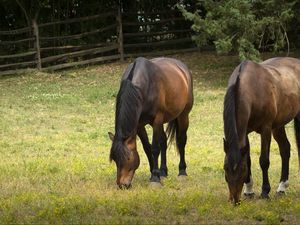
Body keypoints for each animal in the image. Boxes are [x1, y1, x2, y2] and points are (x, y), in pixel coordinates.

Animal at [109, 56, 193, 188]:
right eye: (115, 159)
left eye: (128, 158)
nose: (122, 185)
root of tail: (182, 68)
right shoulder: (139, 125)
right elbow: (147, 148)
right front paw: (155, 173)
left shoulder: (157, 120)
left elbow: (154, 148)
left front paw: (154, 179)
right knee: (163, 142)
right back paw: (163, 172)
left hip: (183, 115)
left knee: (181, 140)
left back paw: (182, 172)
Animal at [223, 57, 300, 205]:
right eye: (225, 168)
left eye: (241, 170)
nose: (234, 200)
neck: (253, 88)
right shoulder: (245, 132)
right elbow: (248, 159)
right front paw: (249, 191)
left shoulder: (266, 129)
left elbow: (264, 161)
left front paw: (265, 192)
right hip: (278, 126)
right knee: (285, 149)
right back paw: (281, 187)